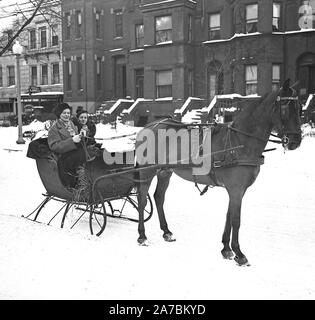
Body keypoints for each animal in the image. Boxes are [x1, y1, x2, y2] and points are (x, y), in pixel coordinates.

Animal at [135, 81, 302, 266]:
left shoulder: (237, 190)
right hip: (147, 170)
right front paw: (239, 253)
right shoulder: (236, 189)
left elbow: (229, 216)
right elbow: (236, 219)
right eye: (285, 108)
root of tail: (149, 127)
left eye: (300, 108)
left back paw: (166, 231)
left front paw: (226, 248)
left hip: (165, 171)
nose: (296, 141)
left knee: (158, 197)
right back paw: (142, 236)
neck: (240, 142)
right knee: (142, 200)